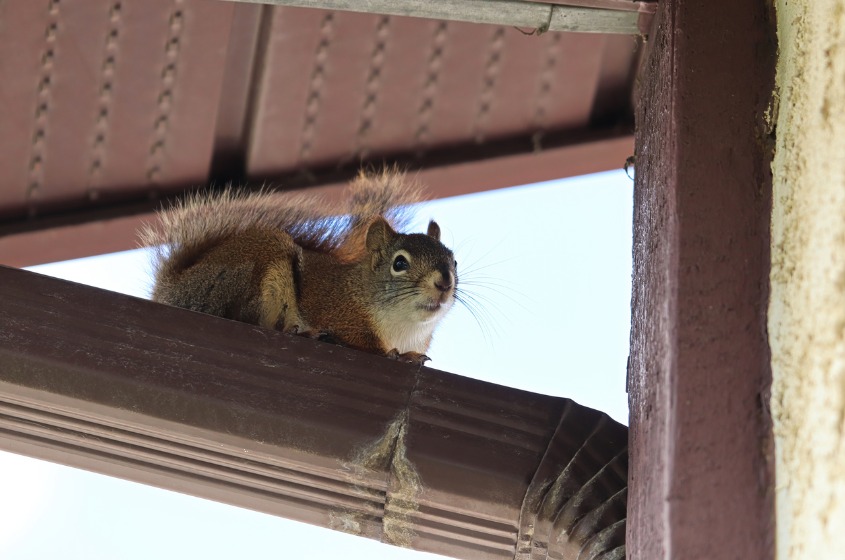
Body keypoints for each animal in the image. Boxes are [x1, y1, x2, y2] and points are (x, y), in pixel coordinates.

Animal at [140, 171, 454, 364]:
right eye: (399, 263)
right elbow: (363, 343)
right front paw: (396, 356)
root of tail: (173, 290)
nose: (444, 282)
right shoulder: (342, 314)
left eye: (453, 261)